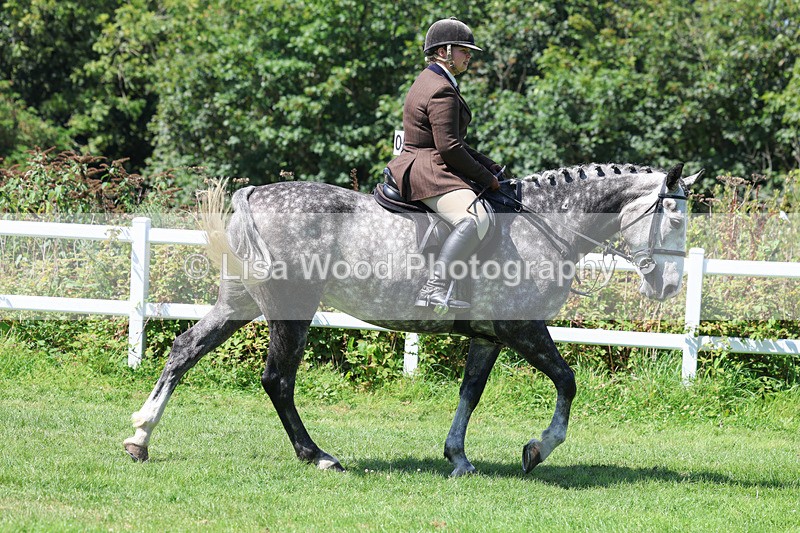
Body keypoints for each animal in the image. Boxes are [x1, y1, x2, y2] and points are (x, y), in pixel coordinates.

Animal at [124, 162, 700, 477]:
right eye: (674, 216)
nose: (670, 287)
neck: (545, 225)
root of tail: (254, 194)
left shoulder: (489, 336)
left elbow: (471, 392)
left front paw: (458, 457)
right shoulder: (523, 329)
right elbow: (567, 379)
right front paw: (538, 448)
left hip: (240, 302)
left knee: (185, 349)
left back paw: (141, 436)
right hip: (292, 310)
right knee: (278, 380)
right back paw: (318, 456)